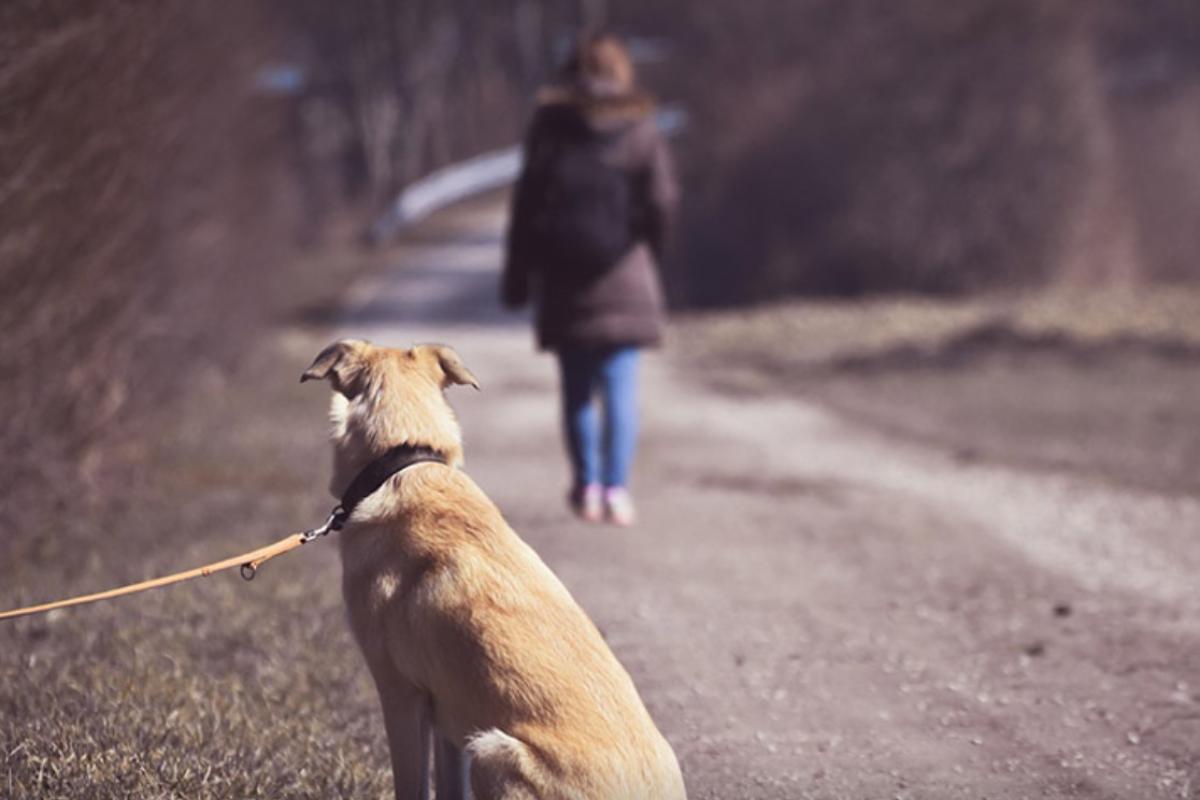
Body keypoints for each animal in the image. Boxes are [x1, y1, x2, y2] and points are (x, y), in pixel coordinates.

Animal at [304, 340, 691, 800]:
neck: (404, 459)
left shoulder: (401, 696)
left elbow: (411, 786)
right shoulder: (447, 717)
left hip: (492, 751)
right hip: (478, 741)